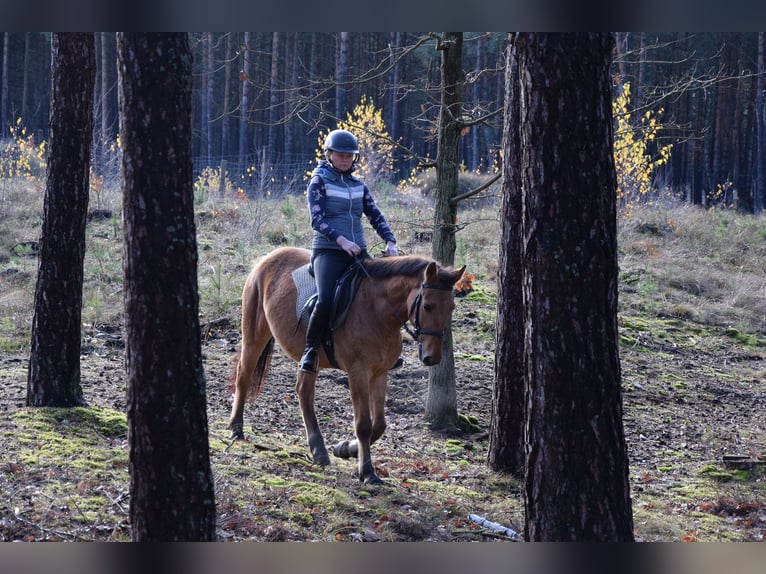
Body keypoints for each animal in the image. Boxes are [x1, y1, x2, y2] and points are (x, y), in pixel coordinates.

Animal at [228, 246, 465, 484]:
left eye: (451, 307)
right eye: (427, 306)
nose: (432, 357)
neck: (377, 311)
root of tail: (267, 258)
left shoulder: (380, 372)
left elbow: (379, 424)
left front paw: (345, 449)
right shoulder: (357, 371)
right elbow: (363, 424)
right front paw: (367, 472)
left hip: (309, 357)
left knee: (304, 392)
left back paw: (319, 451)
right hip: (254, 335)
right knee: (244, 375)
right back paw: (236, 429)